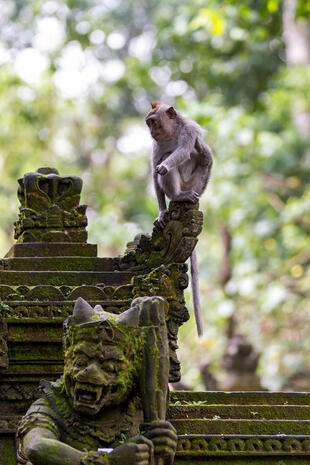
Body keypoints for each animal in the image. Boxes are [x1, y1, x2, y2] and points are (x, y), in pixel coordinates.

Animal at [145, 101, 213, 336]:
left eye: (154, 122)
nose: (151, 131)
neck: (172, 132)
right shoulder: (157, 145)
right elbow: (155, 171)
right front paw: (161, 212)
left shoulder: (189, 131)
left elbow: (182, 151)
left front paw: (166, 165)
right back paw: (175, 197)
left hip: (196, 183)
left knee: (203, 158)